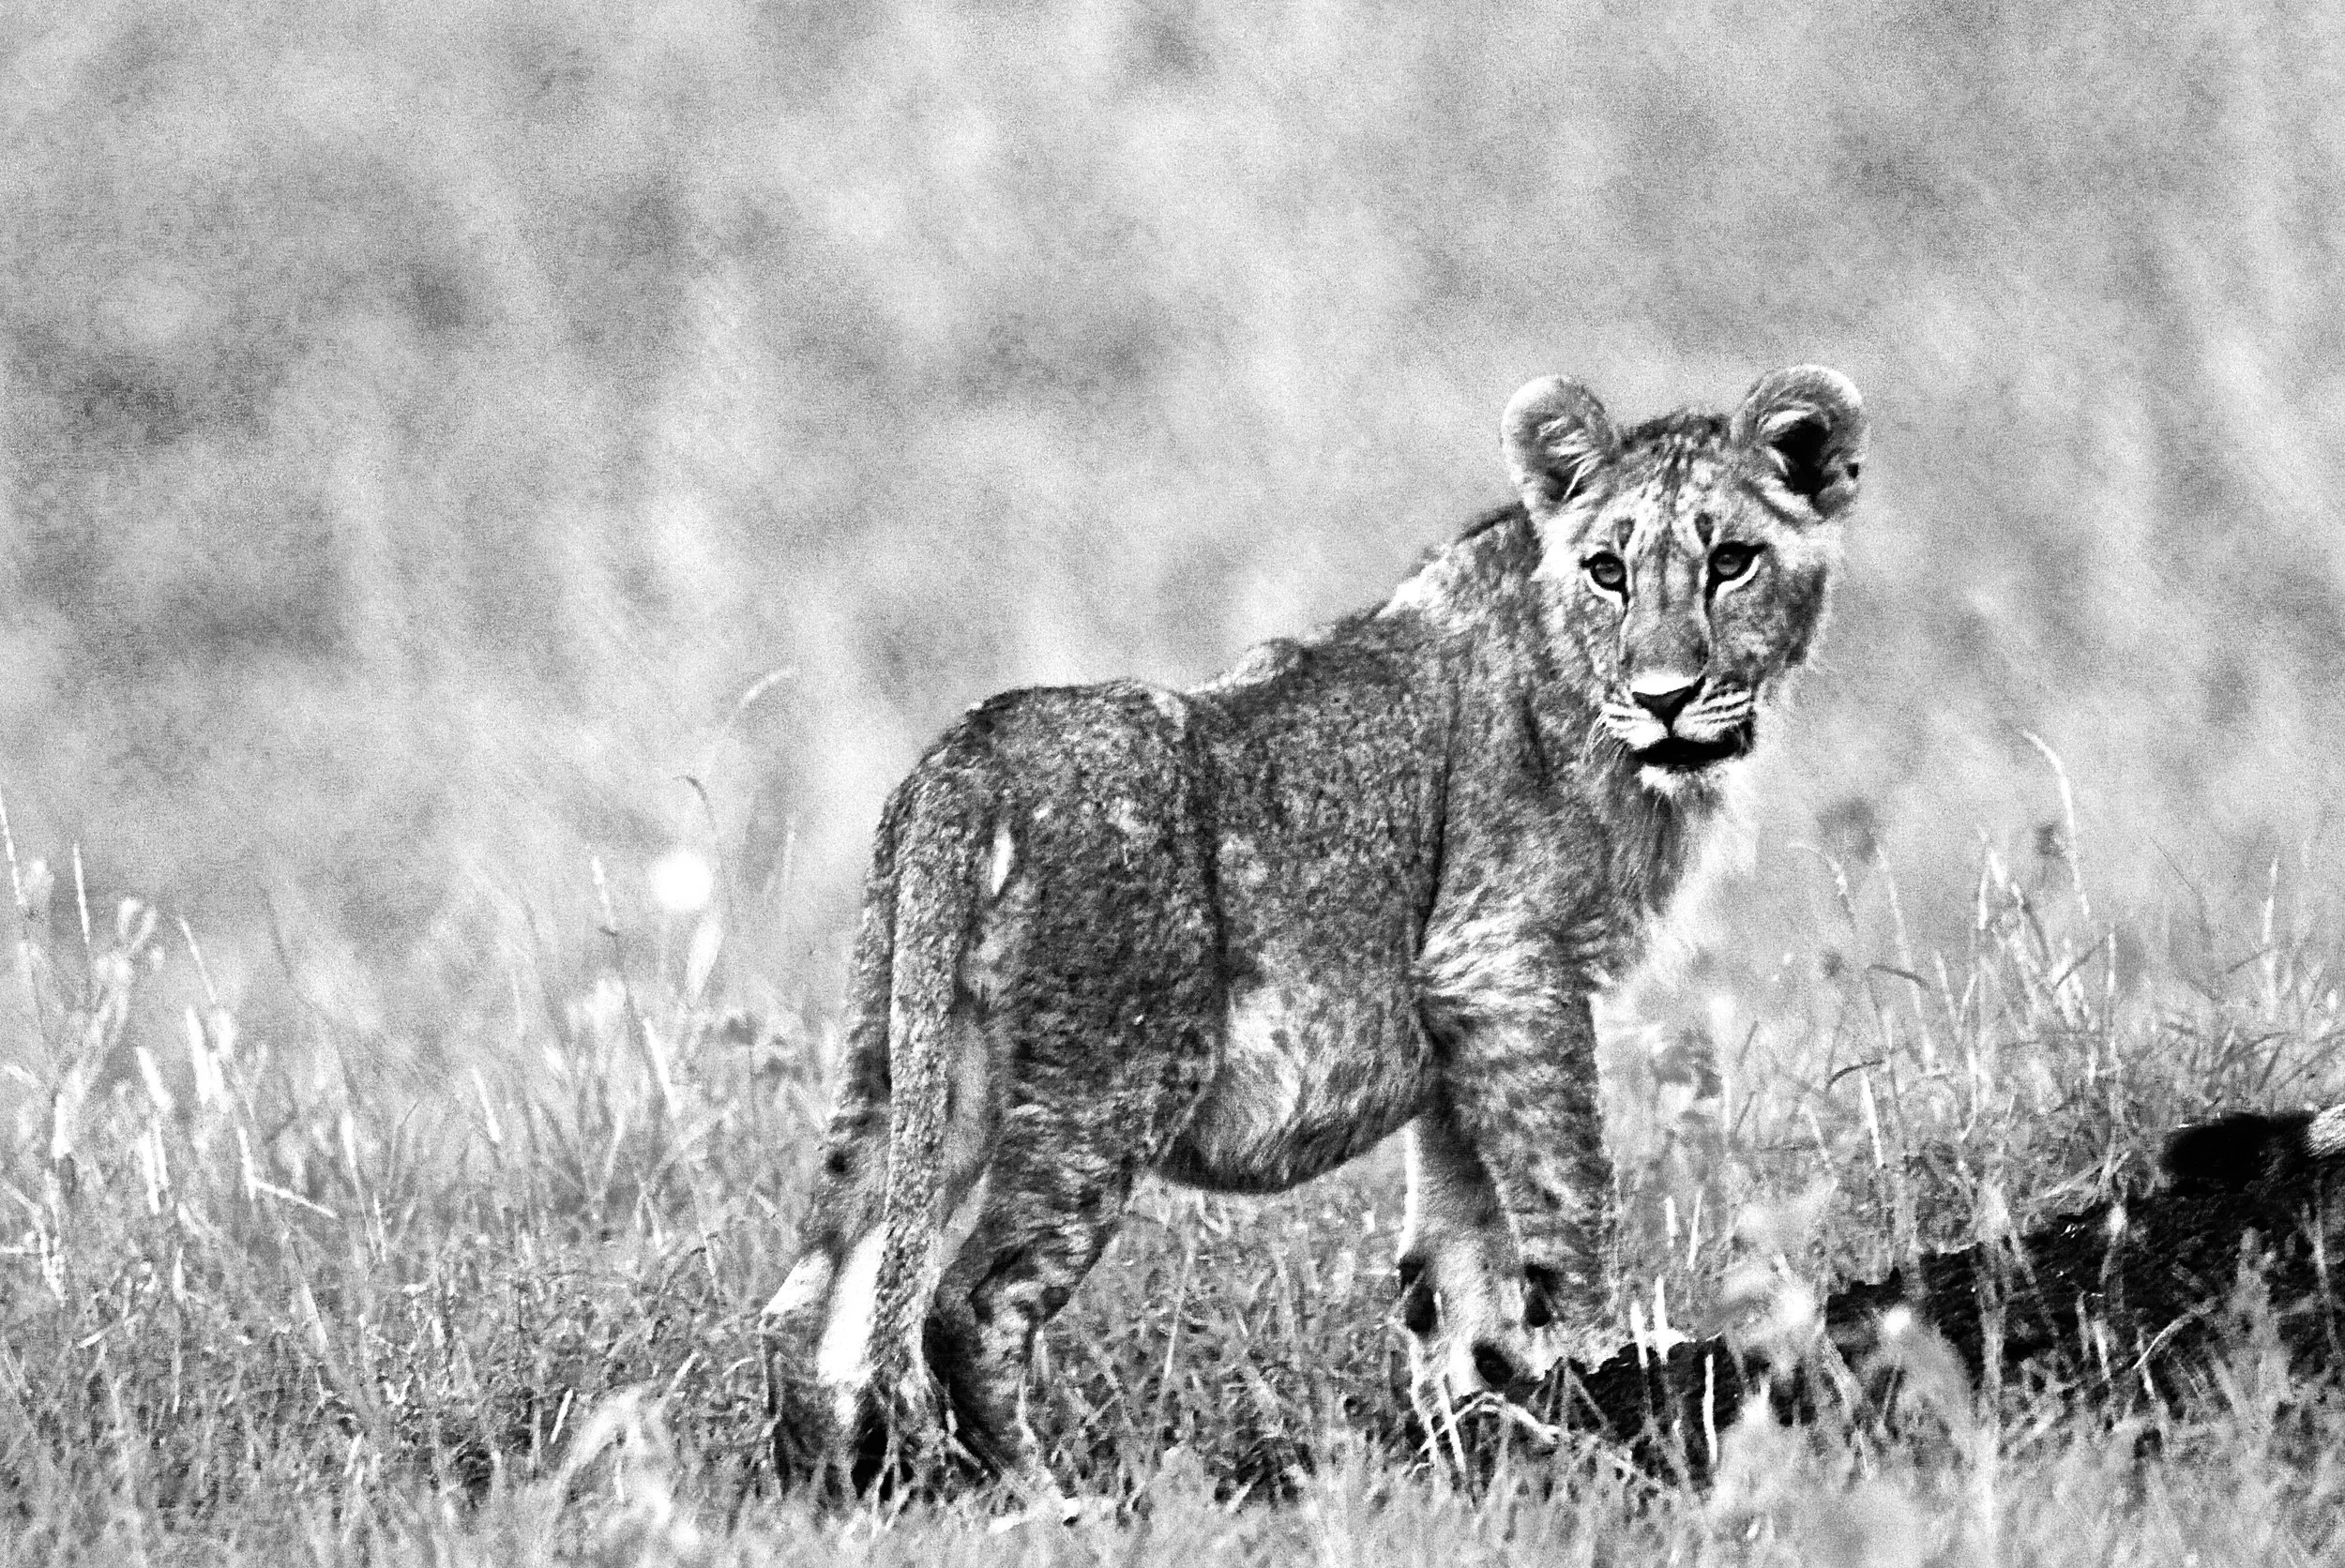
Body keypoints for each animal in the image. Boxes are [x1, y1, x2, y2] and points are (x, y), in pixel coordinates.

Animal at [765, 365, 1869, 1495]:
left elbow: (1459, 1242)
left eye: (1731, 561)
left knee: (814, 1293)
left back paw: (829, 1491)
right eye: (1609, 570)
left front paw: (1488, 1431)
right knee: (967, 1304)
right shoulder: (1504, 964)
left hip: (911, 1058)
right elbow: (1569, 1202)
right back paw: (1044, 1499)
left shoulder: (1459, 1010)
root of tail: (971, 758)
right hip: (1114, 1081)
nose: (1666, 698)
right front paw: (1625, 1383)